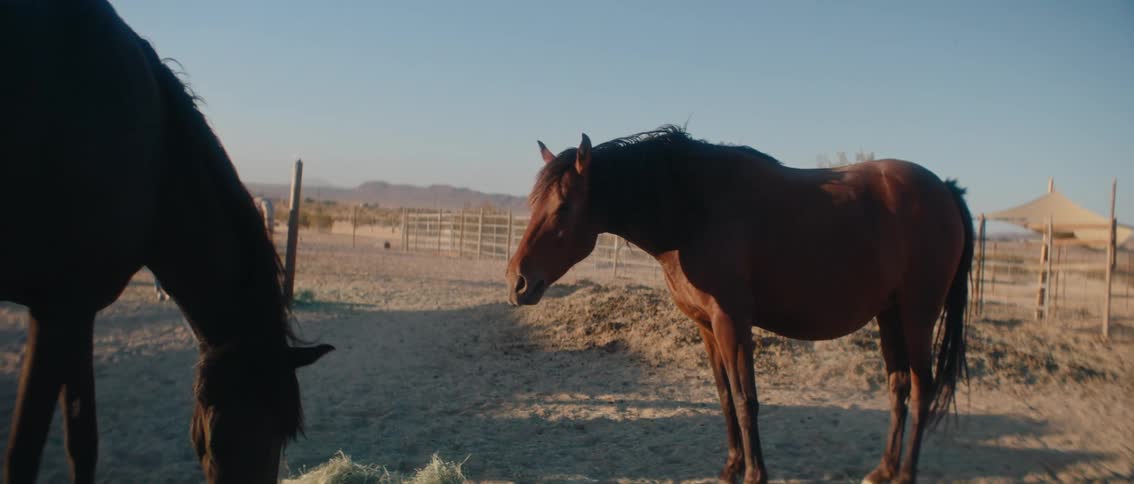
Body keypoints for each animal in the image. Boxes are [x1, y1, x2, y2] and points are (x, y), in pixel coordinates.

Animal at [0, 2, 333, 483]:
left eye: (286, 435)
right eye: (266, 427)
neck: (156, 162)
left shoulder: (77, 309)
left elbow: (82, 441)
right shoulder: (54, 308)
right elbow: (22, 454)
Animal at [506, 127, 972, 483]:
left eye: (564, 207)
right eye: (533, 204)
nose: (517, 281)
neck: (692, 209)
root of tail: (944, 190)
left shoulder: (733, 321)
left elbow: (748, 400)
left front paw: (754, 474)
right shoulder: (706, 326)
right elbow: (726, 396)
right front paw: (730, 468)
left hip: (917, 315)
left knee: (923, 388)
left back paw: (905, 474)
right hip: (889, 314)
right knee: (899, 387)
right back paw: (883, 470)